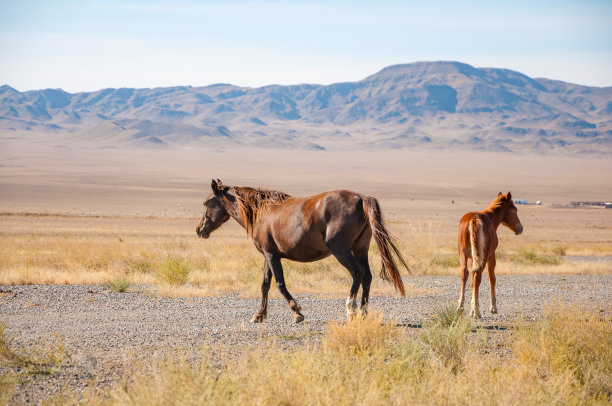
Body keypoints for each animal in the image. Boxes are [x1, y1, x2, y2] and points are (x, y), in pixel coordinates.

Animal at [196, 179, 406, 322]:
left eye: (206, 203)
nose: (199, 230)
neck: (261, 212)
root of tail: (362, 199)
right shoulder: (268, 255)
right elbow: (265, 284)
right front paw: (259, 315)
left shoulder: (272, 255)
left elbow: (280, 283)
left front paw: (297, 311)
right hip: (360, 249)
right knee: (367, 276)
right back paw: (363, 312)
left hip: (342, 251)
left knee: (357, 273)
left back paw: (351, 309)